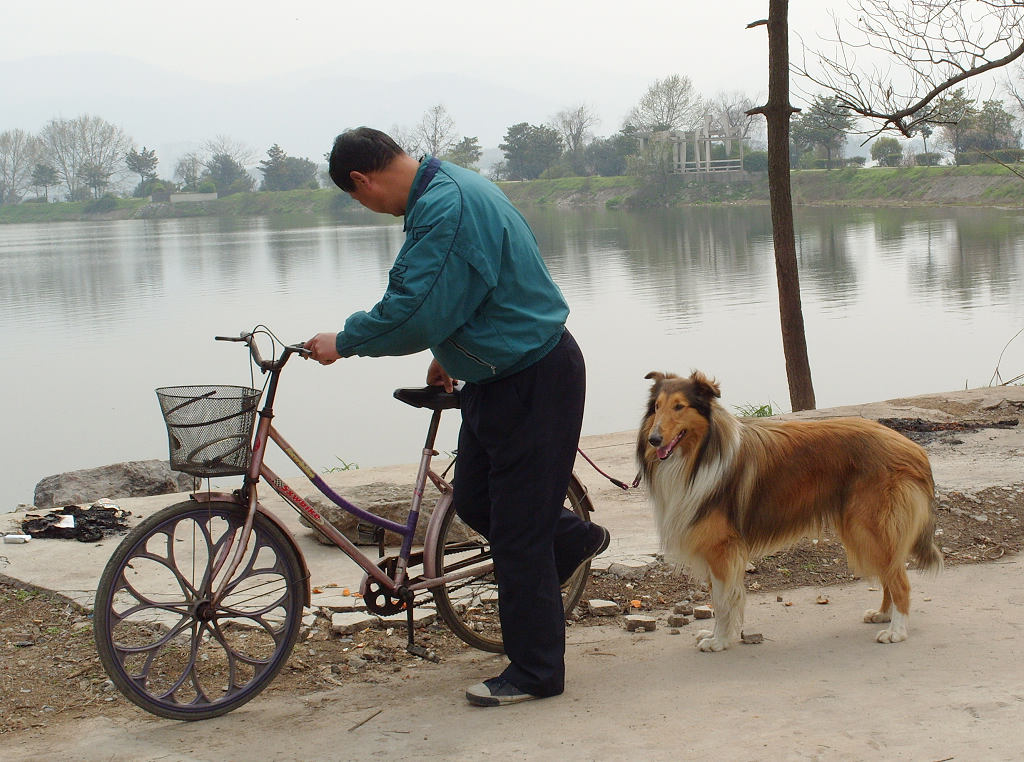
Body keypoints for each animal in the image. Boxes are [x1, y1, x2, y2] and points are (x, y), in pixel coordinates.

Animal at [638, 372, 942, 651]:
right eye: (657, 407)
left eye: (679, 406)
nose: (654, 439)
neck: (700, 456)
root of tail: (914, 449)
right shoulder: (715, 548)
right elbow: (719, 597)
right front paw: (716, 636)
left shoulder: (721, 548)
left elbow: (723, 601)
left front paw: (720, 641)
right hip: (865, 532)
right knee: (890, 573)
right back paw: (883, 615)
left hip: (869, 528)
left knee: (900, 580)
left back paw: (896, 631)